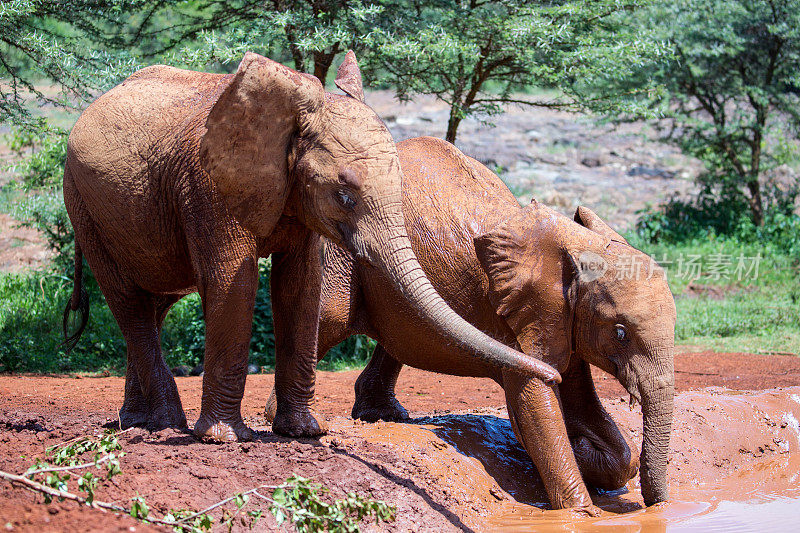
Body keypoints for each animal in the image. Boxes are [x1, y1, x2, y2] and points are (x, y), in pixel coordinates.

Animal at [59, 51, 560, 440]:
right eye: (344, 195)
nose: (553, 374)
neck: (287, 119)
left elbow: (300, 287)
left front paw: (302, 432)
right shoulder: (208, 187)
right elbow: (235, 285)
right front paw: (224, 438)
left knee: (154, 304)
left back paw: (136, 423)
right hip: (82, 203)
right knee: (129, 303)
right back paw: (165, 425)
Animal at [268, 137, 676, 512]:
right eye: (621, 334)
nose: (657, 506)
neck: (580, 247)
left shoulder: (561, 319)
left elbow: (586, 411)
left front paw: (583, 449)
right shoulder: (521, 316)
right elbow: (536, 403)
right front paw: (581, 511)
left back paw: (382, 416)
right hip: (345, 256)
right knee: (329, 321)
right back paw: (292, 424)